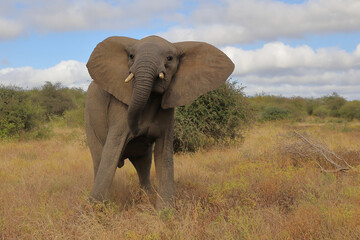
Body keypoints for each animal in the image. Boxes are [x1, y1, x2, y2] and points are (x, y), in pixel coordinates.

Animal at [86, 34, 235, 208]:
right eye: (131, 56)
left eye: (169, 58)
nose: (139, 132)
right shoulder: (120, 108)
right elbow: (113, 148)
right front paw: (96, 209)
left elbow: (164, 152)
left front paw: (165, 211)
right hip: (89, 122)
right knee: (99, 157)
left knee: (143, 163)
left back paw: (145, 197)